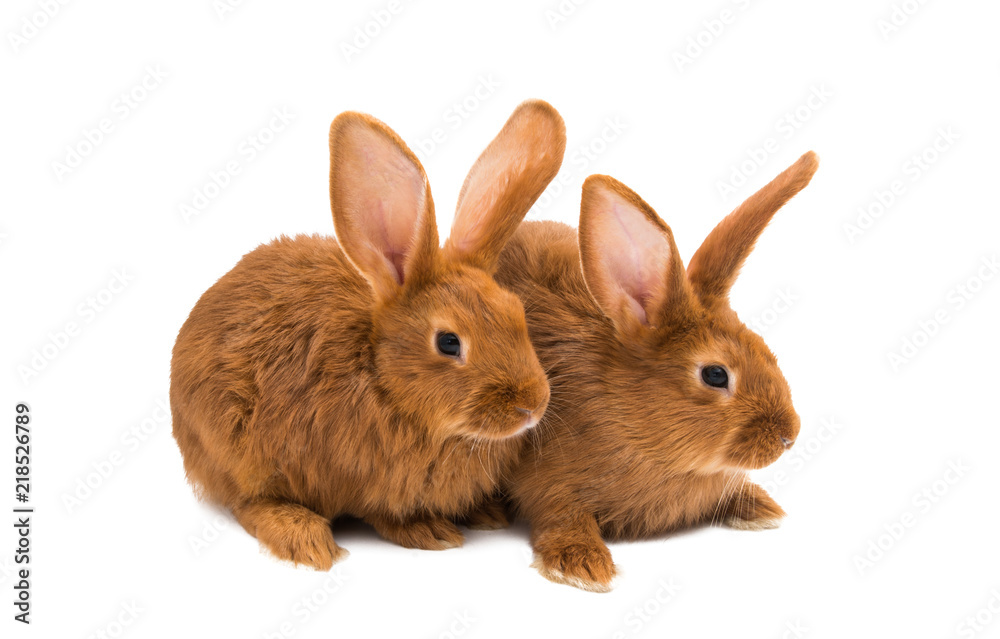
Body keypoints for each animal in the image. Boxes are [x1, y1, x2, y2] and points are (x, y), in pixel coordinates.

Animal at [170, 100, 565, 570]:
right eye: (449, 342)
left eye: (517, 312)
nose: (532, 406)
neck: (381, 379)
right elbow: (383, 514)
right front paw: (429, 532)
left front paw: (481, 513)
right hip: (234, 449)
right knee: (247, 502)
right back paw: (304, 538)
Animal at [490, 152, 819, 591]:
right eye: (715, 375)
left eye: (765, 348)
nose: (788, 436)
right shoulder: (548, 483)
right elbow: (562, 516)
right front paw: (583, 566)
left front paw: (761, 507)